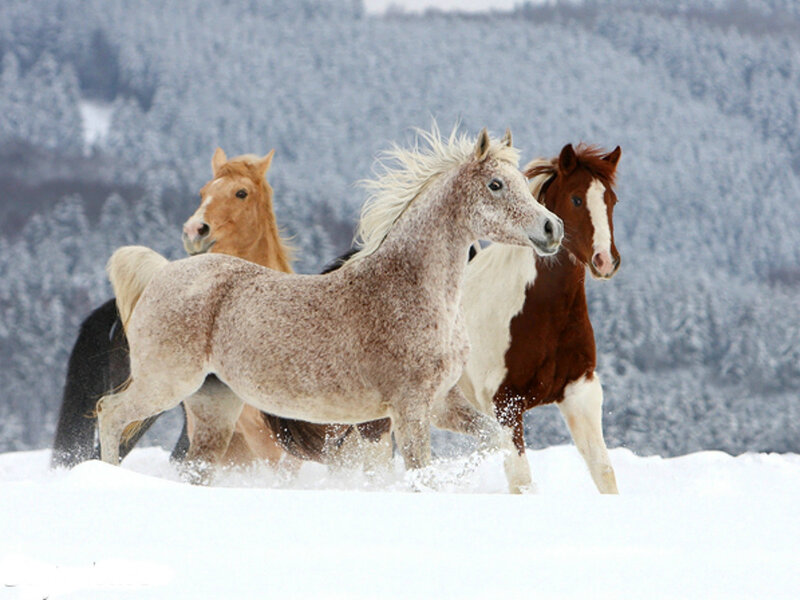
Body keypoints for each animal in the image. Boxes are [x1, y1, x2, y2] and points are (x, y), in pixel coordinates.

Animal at [95, 126, 564, 483]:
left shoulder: (440, 403)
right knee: (109, 412)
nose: (552, 228)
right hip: (166, 382)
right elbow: (421, 475)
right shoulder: (409, 409)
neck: (411, 290)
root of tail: (162, 274)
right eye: (495, 185)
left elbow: (497, 439)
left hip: (214, 406)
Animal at [458, 143, 622, 493]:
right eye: (576, 199)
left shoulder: (581, 392)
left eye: (612, 200)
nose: (605, 261)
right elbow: (522, 480)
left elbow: (603, 471)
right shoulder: (505, 403)